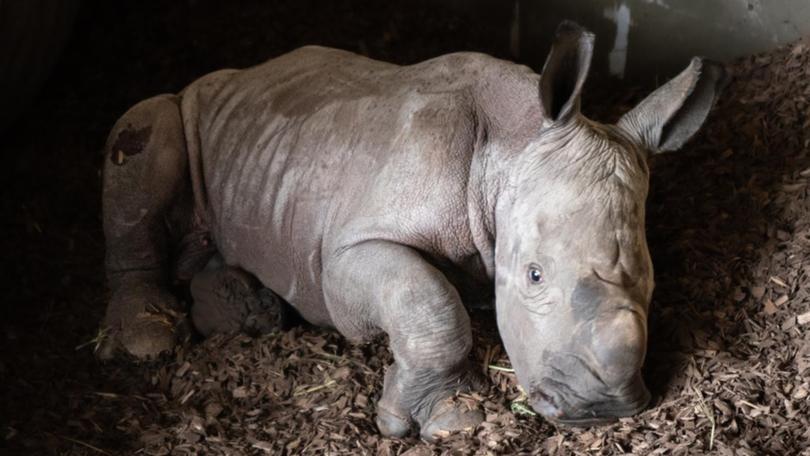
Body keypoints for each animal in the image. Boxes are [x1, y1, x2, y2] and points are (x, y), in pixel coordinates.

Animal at [98, 22, 724, 442]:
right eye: (534, 275)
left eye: (651, 283)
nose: (601, 408)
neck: (513, 146)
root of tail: (215, 78)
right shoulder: (342, 254)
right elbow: (428, 300)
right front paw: (449, 422)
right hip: (181, 109)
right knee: (143, 134)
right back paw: (151, 341)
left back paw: (243, 313)